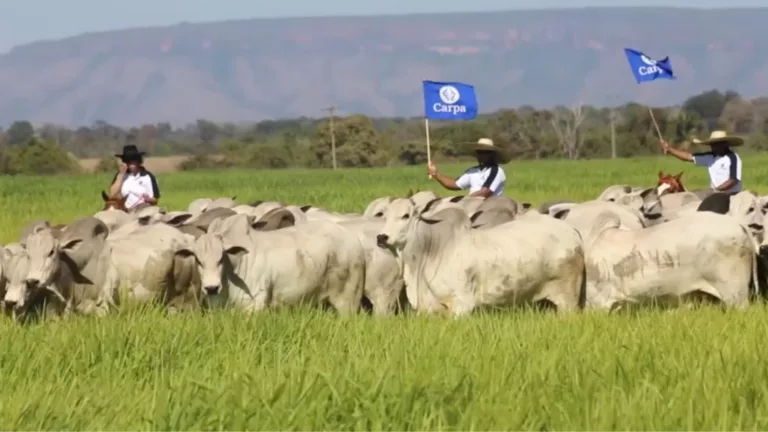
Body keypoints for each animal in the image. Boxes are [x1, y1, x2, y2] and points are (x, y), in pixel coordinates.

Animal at [175, 213, 366, 312]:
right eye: (198, 260)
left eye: (221, 257)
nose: (211, 288)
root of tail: (352, 239)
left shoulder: (253, 305)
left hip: (348, 300)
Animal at [376, 200, 584, 318]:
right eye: (384, 216)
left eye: (406, 216)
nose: (381, 237)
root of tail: (572, 231)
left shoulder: (462, 305)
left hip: (568, 300)